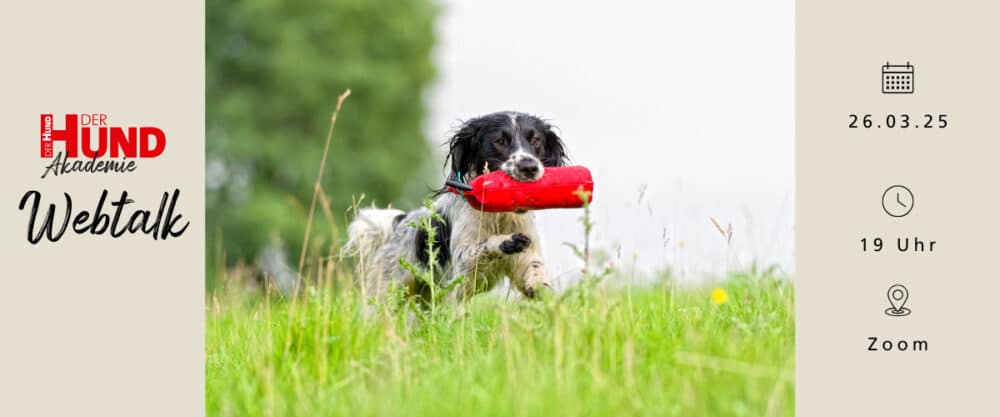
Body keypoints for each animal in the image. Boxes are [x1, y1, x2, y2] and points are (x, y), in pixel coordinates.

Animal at [344, 112, 568, 304]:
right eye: (500, 141)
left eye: (535, 140)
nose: (529, 167)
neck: (499, 216)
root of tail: (400, 222)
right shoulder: (462, 266)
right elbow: (483, 246)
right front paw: (504, 241)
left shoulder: (527, 257)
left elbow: (535, 272)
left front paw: (542, 291)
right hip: (389, 292)